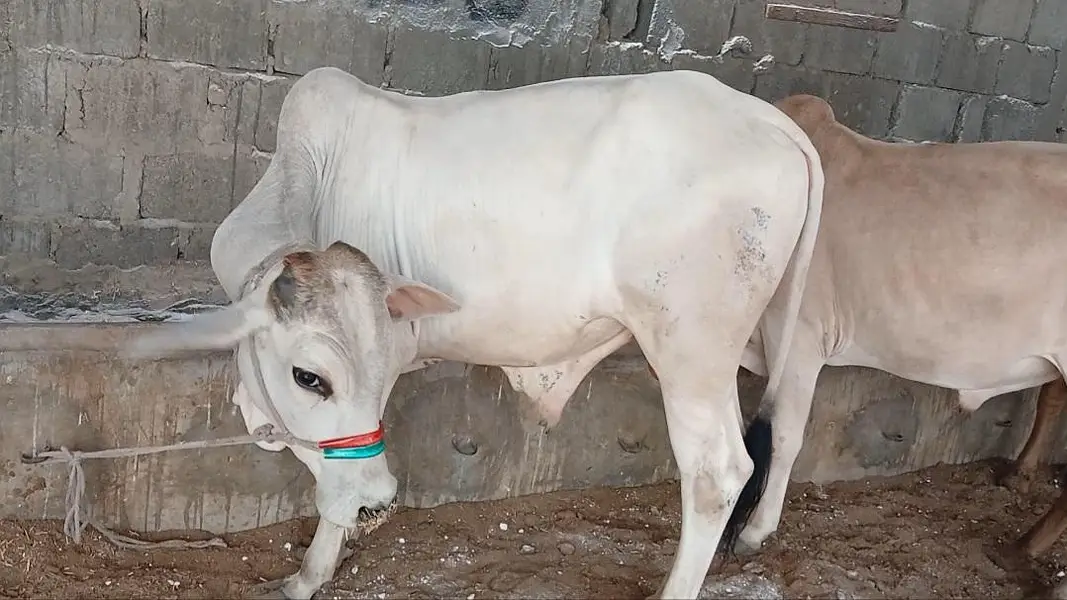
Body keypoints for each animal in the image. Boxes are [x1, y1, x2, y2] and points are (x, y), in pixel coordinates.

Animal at [123, 67, 825, 600]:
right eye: (307, 377)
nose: (380, 505)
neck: (308, 184)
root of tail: (775, 122)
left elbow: (333, 490)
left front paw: (309, 574)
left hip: (691, 354)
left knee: (717, 473)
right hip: (763, 342)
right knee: (787, 426)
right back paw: (757, 532)